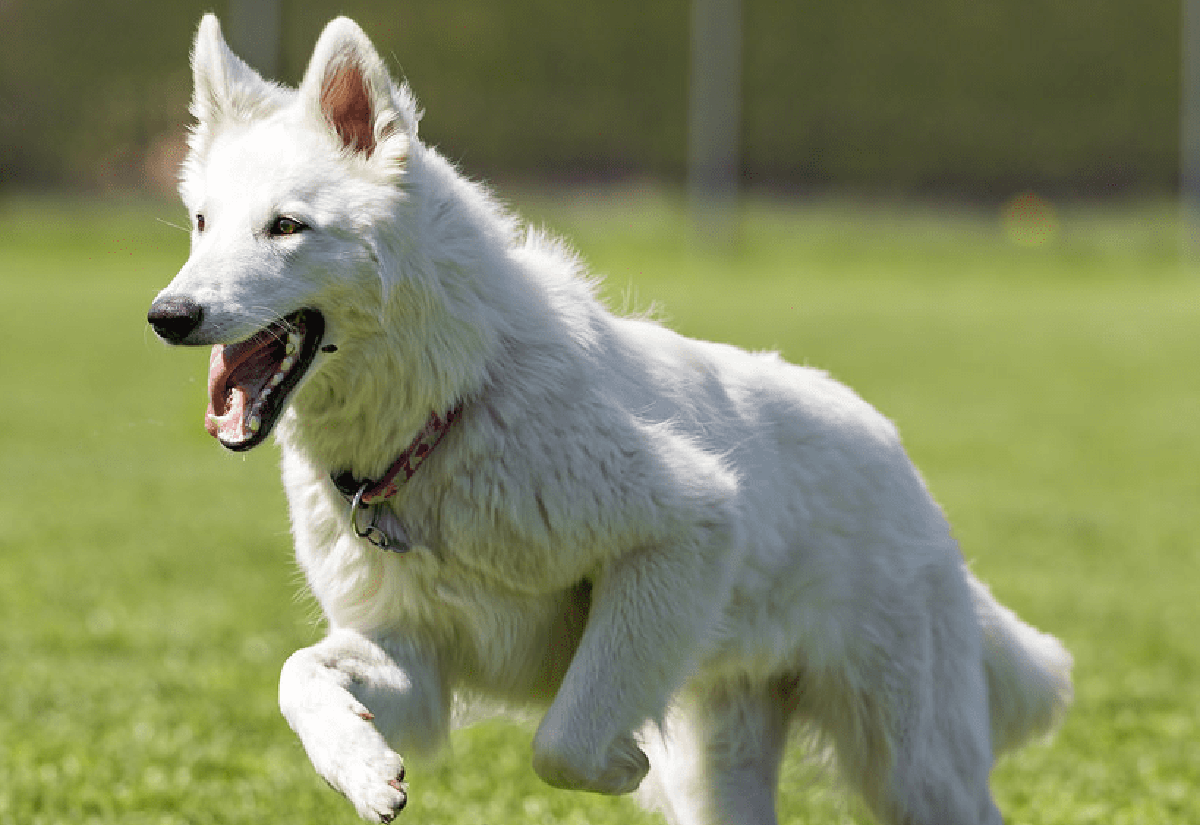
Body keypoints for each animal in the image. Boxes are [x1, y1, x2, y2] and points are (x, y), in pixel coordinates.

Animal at [145, 14, 1075, 825]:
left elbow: (562, 738)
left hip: (914, 767)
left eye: (287, 226)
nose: (168, 316)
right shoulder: (412, 657)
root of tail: (901, 463)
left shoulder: (681, 529)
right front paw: (362, 767)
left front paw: (619, 763)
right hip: (731, 768)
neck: (451, 412)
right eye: (201, 223)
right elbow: (296, 674)